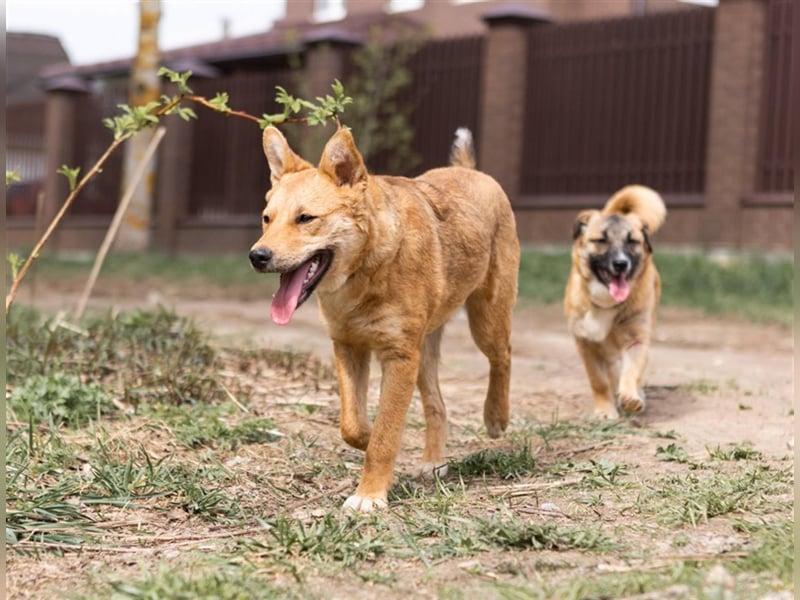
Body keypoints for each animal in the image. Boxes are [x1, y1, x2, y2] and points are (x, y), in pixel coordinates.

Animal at [250, 125, 520, 510]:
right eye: (266, 219)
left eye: (305, 218)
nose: (257, 256)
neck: (367, 269)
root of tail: (470, 171)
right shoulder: (348, 347)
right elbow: (354, 426)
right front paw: (370, 443)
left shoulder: (399, 357)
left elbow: (384, 435)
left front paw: (369, 496)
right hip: (425, 355)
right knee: (437, 405)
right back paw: (433, 462)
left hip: (486, 321)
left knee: (503, 356)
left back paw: (496, 417)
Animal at [564, 185, 664, 420]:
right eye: (601, 240)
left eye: (632, 241)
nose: (620, 264)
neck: (607, 302)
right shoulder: (586, 345)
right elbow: (599, 381)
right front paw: (605, 410)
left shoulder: (637, 340)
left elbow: (632, 372)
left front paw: (630, 397)